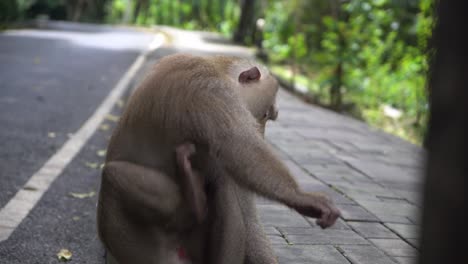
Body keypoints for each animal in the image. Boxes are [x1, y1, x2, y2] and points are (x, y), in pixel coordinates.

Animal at [98, 53, 340, 264]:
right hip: (138, 245)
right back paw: (194, 198)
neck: (220, 69)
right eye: (265, 115)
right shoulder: (211, 91)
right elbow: (237, 145)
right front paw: (302, 198)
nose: (260, 133)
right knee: (113, 176)